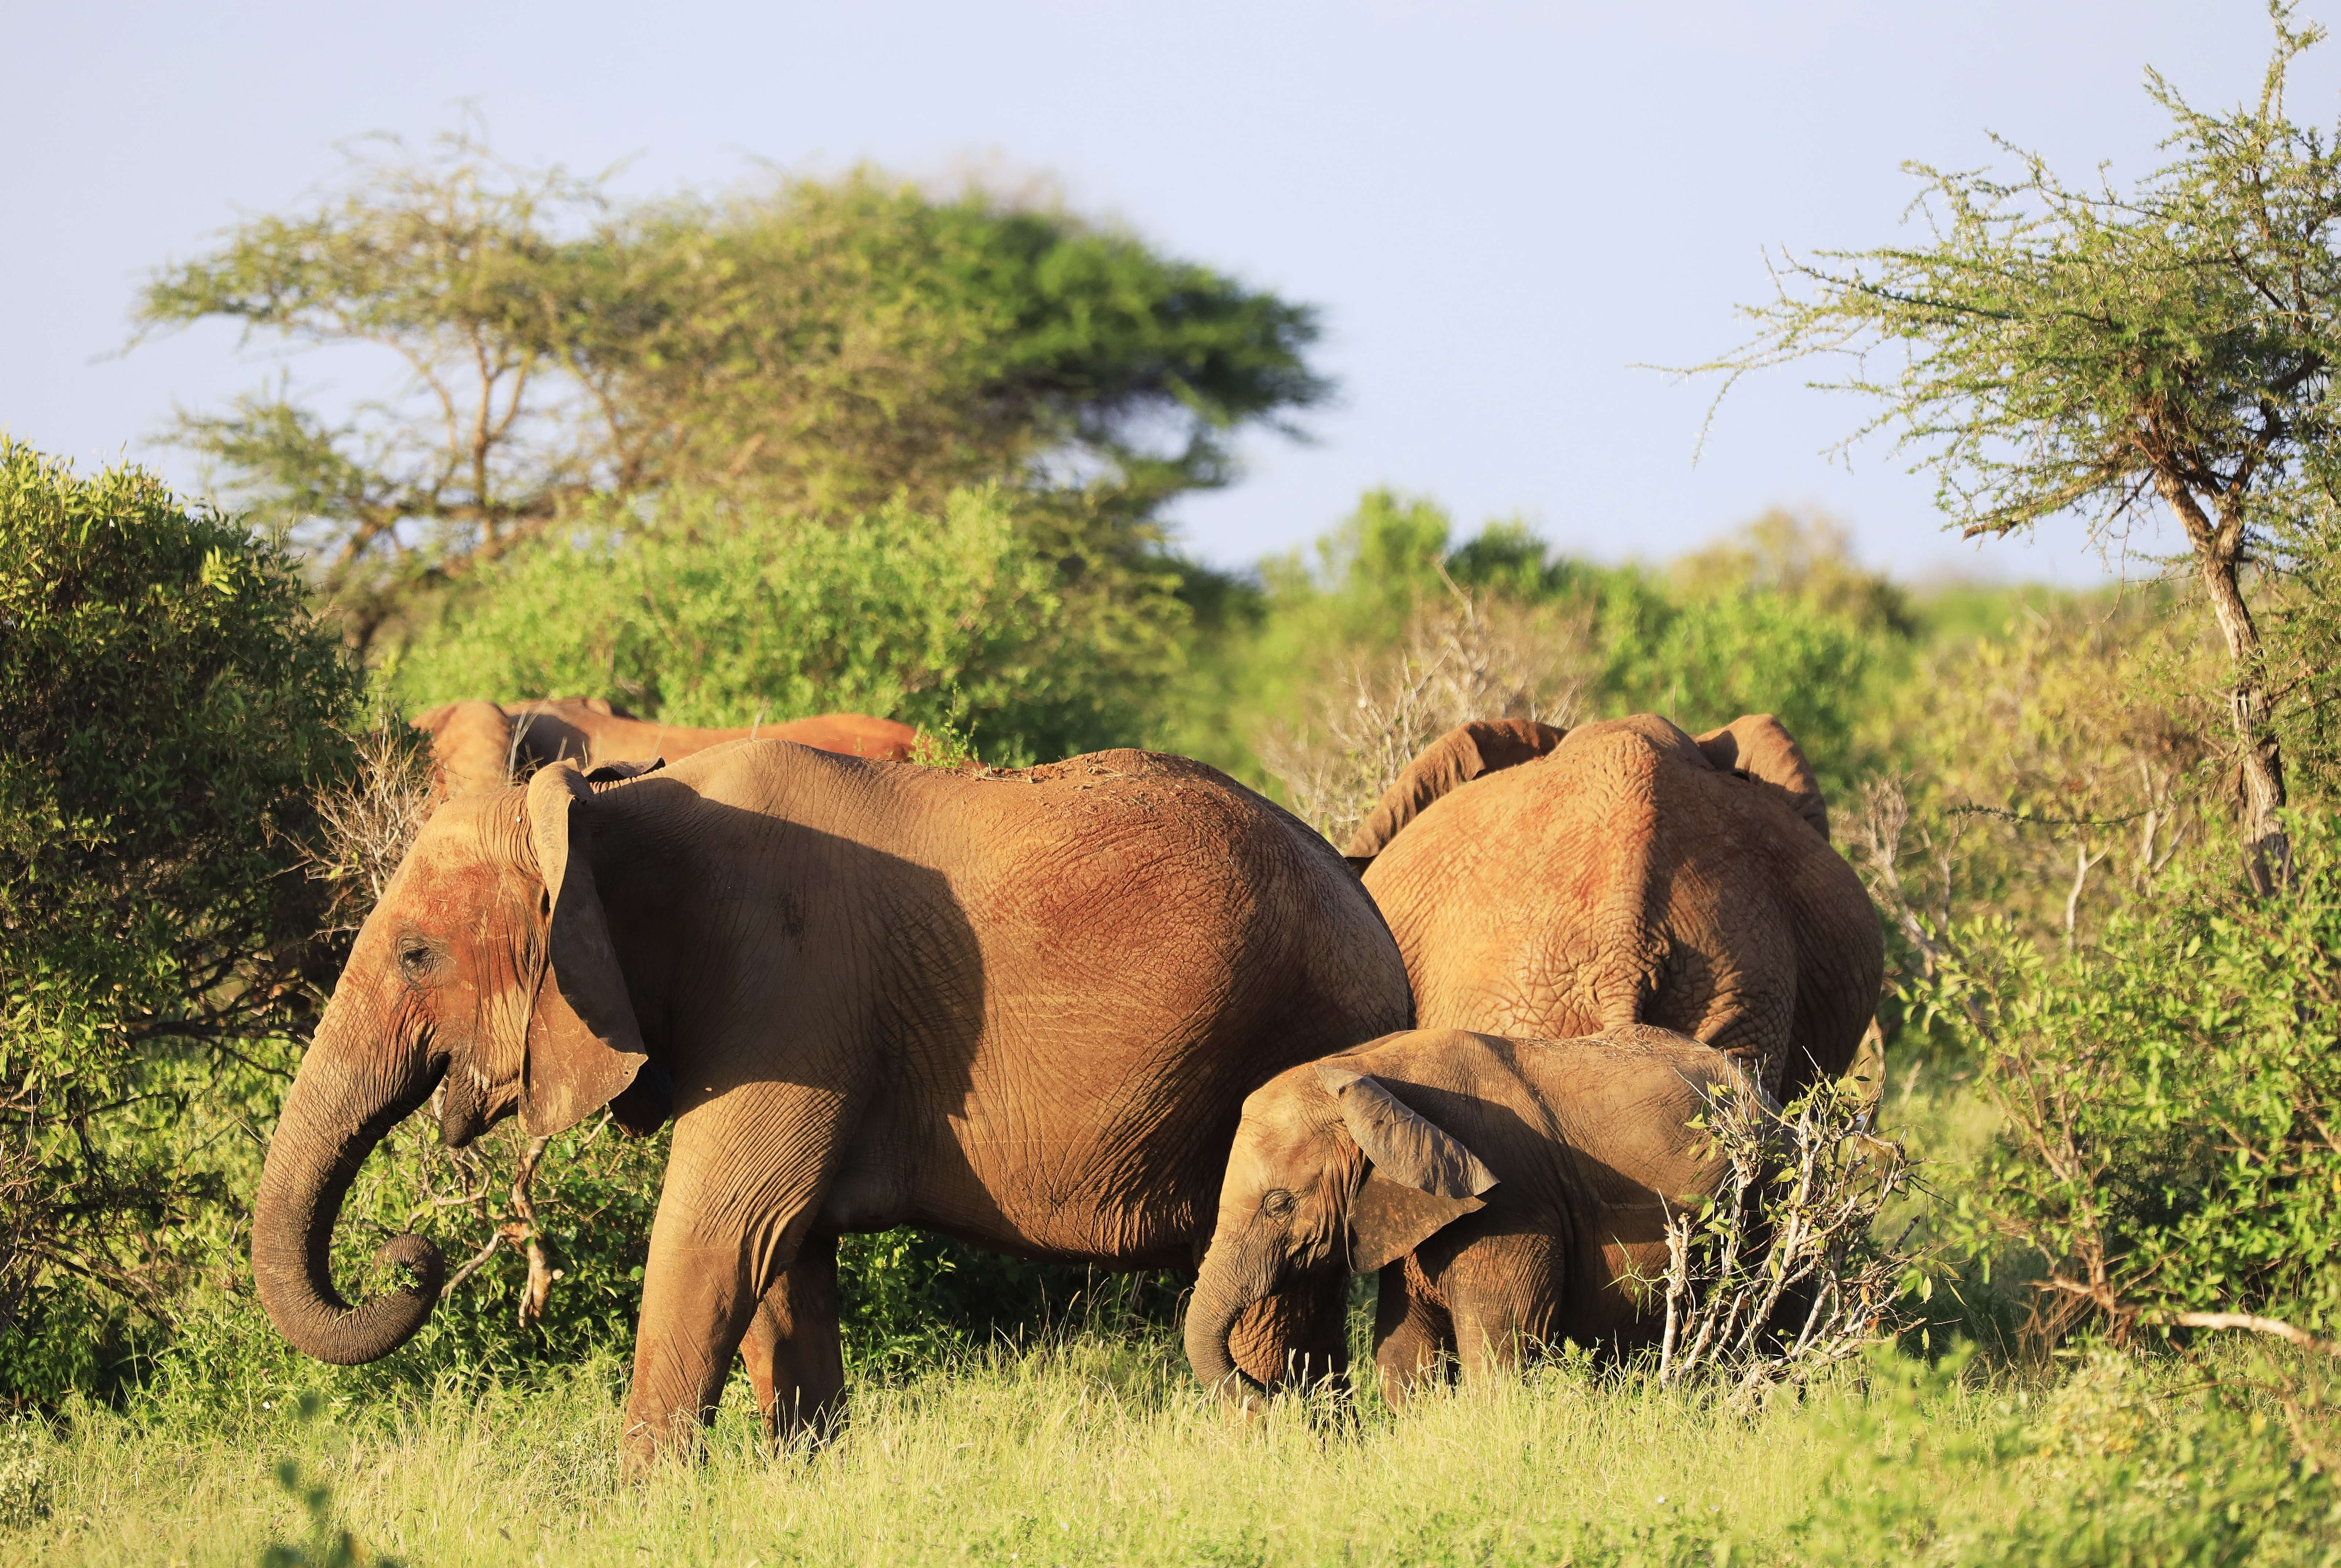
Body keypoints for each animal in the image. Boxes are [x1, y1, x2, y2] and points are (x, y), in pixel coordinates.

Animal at [251, 740, 1410, 1471]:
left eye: (416, 955)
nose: (411, 1259)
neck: (604, 815)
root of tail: (1373, 909)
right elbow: (780, 1255)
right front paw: (796, 1482)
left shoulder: (786, 992)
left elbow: (717, 1230)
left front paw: (642, 1511)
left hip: (1296, 1031)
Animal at [1185, 1025, 1750, 1408]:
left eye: (1279, 1204)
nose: (1279, 1398)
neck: (1364, 1070)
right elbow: (1402, 1360)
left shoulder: (1512, 1207)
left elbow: (1499, 1356)